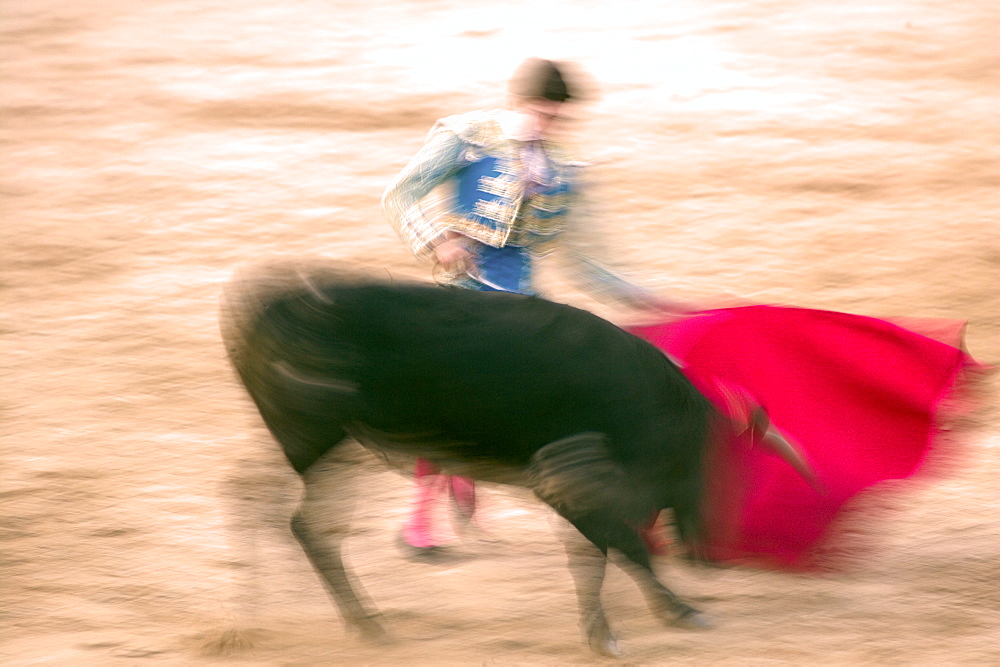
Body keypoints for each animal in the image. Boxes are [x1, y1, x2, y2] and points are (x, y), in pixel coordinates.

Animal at [223, 264, 808, 656]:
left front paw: (614, 626)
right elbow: (621, 547)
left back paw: (313, 619)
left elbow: (597, 552)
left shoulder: (574, 485)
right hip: (315, 441)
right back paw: (284, 623)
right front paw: (658, 618)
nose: (713, 556)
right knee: (286, 516)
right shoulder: (566, 478)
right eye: (713, 467)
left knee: (274, 510)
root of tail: (265, 305)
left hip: (331, 446)